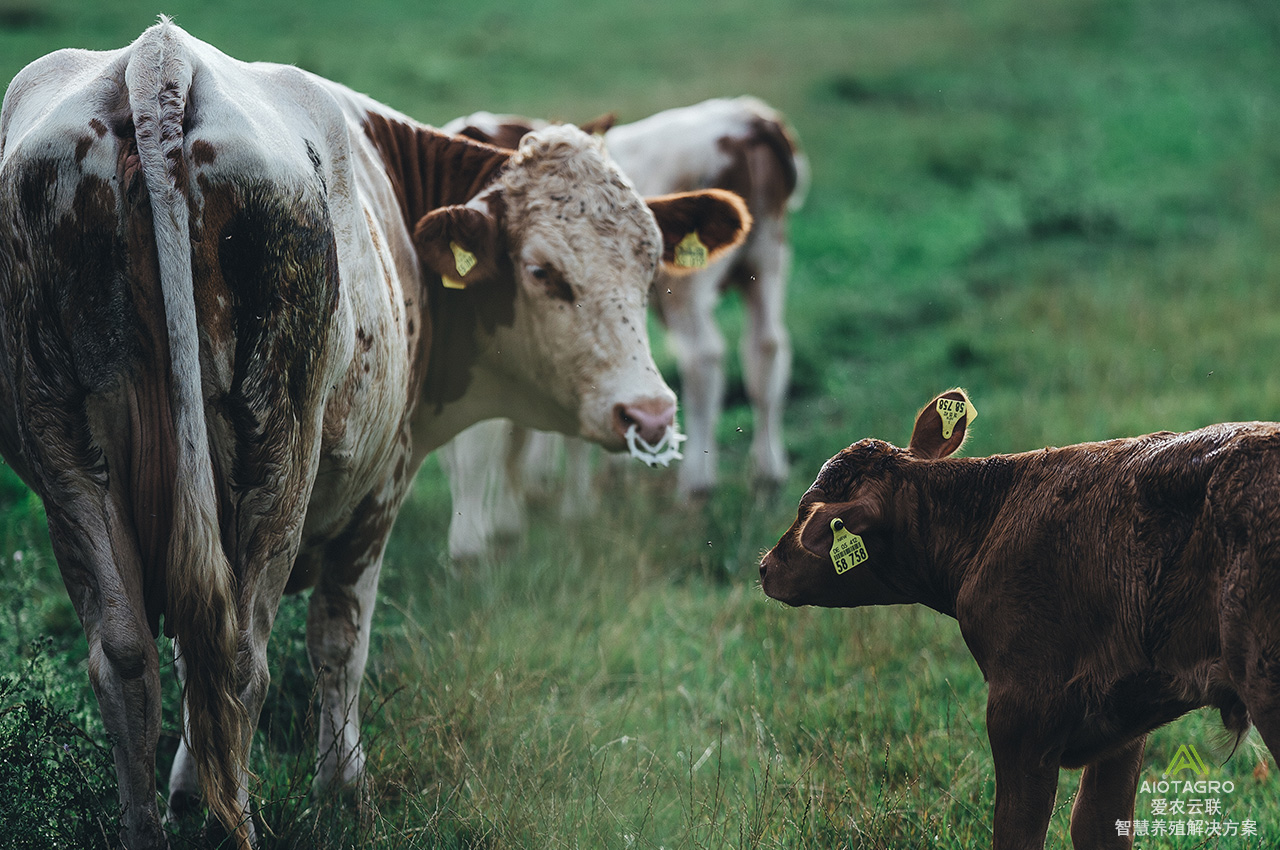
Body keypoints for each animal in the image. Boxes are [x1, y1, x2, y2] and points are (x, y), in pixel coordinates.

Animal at [0, 21, 747, 850]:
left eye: (650, 266)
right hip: (276, 464)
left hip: (70, 462)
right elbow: (339, 638)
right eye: (543, 272)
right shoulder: (383, 485)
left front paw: (189, 795)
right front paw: (341, 791)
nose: (648, 414)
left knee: (130, 656)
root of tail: (159, 57)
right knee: (241, 654)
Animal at [435, 97, 803, 558]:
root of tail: (750, 119)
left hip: (687, 290)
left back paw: (696, 485)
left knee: (703, 360)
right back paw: (767, 478)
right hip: (768, 262)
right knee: (766, 352)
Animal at [757, 389, 1280, 844]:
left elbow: (1018, 831)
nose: (764, 566)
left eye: (806, 513)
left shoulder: (1020, 708)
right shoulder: (1125, 718)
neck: (988, 520)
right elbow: (1096, 823)